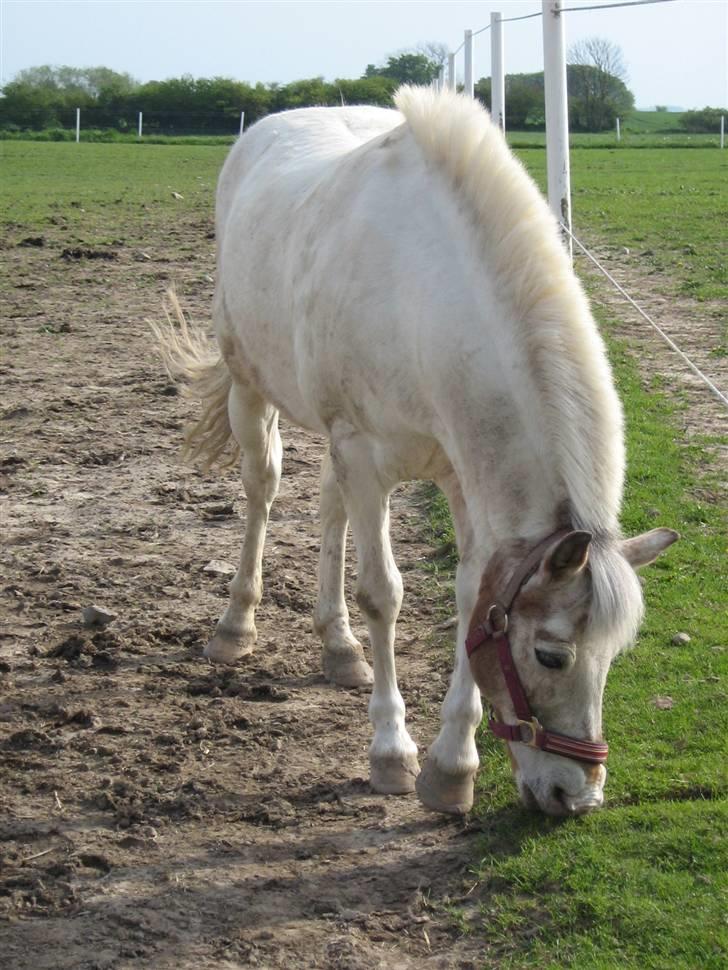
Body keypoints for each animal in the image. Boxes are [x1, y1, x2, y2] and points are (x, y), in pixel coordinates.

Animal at [156, 89, 680, 816]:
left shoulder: (458, 476)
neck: (422, 301)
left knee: (330, 510)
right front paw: (391, 752)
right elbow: (383, 593)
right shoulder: (363, 453)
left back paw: (340, 646)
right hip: (251, 391)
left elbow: (467, 598)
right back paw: (236, 626)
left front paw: (452, 766)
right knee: (262, 490)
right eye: (551, 655)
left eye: (615, 656)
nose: (574, 796)